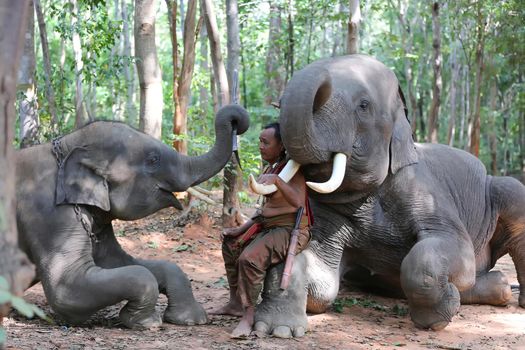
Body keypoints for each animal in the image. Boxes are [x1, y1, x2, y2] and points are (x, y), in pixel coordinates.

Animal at [14, 105, 248, 330]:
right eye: (153, 159)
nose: (237, 121)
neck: (67, 144)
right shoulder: (49, 214)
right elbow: (67, 292)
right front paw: (146, 322)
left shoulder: (98, 219)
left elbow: (118, 260)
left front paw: (192, 320)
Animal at [250, 54, 524, 336]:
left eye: (363, 105)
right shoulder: (328, 214)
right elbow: (319, 283)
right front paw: (277, 330)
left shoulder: (425, 190)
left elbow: (452, 250)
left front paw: (439, 316)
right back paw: (499, 286)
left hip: (503, 191)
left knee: (512, 199)